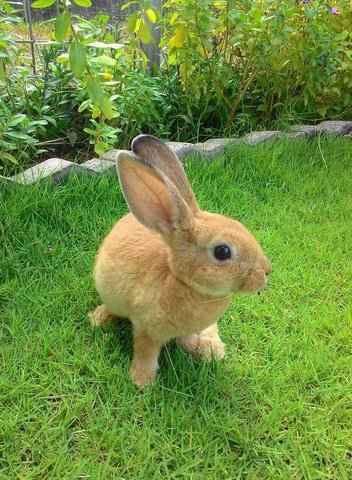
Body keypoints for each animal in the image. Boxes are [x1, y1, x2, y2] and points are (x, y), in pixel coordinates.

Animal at [89, 134, 270, 386]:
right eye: (222, 252)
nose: (267, 271)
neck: (185, 284)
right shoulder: (145, 328)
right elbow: (146, 352)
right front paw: (142, 381)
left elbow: (186, 338)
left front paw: (195, 349)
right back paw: (99, 319)